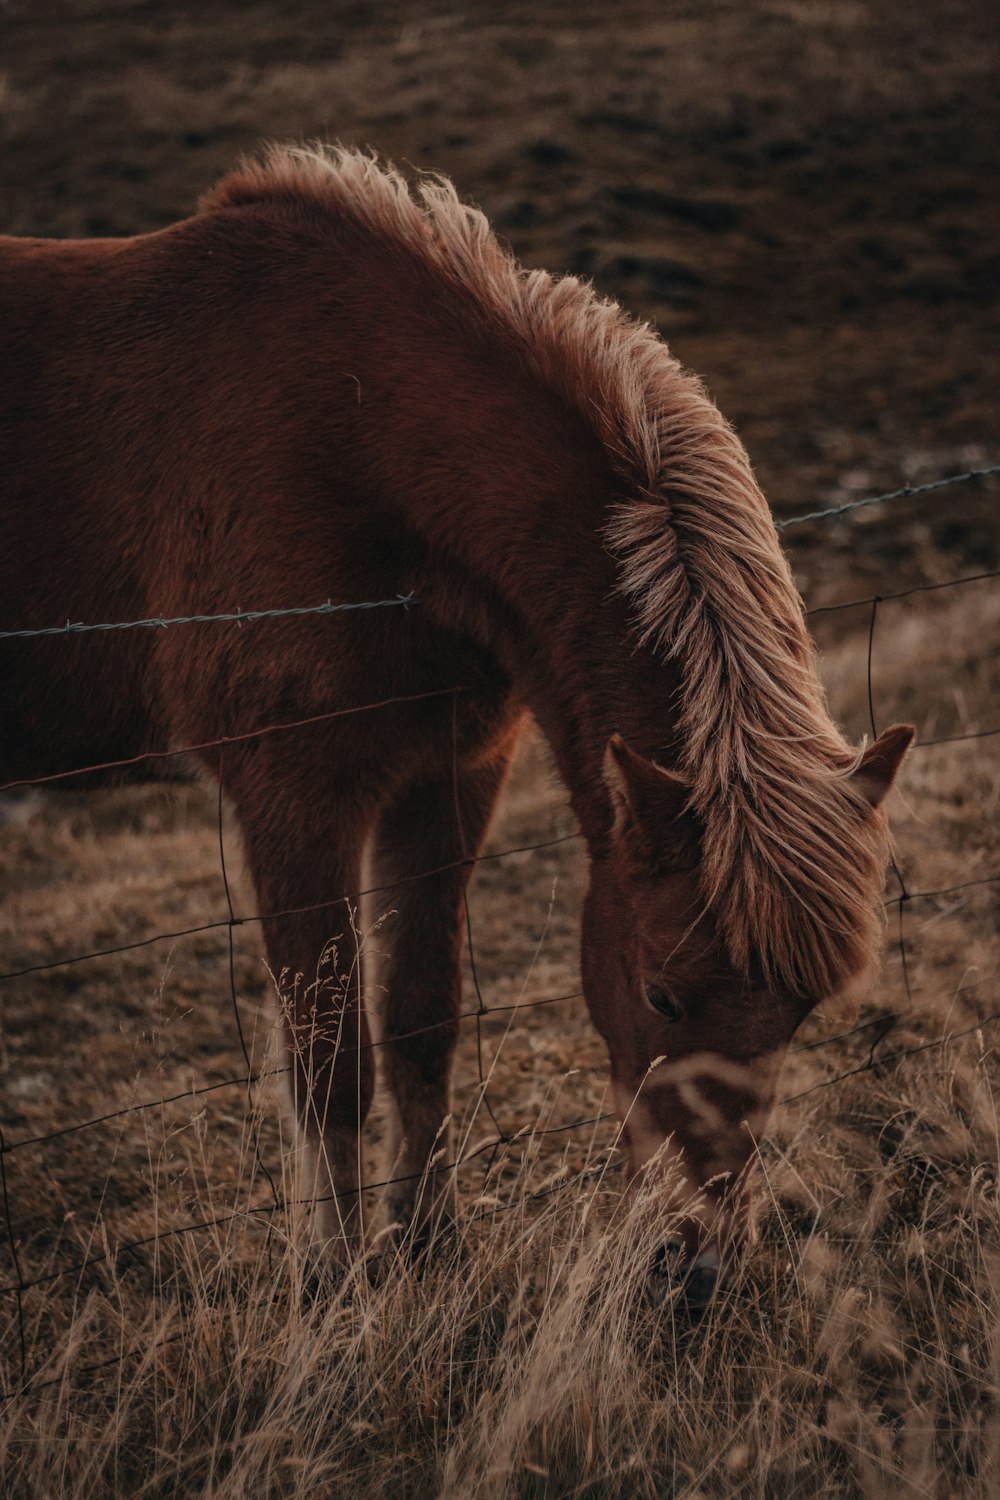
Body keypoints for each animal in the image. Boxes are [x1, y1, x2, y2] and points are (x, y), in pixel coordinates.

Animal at [0, 146, 911, 1302]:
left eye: (800, 1012)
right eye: (662, 996)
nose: (697, 1267)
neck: (353, 440)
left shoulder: (449, 771)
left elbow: (419, 1023)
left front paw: (430, 1245)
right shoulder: (294, 800)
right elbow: (329, 1056)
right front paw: (334, 1283)